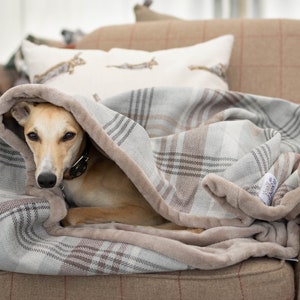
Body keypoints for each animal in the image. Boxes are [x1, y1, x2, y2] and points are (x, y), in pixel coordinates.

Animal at [11, 102, 204, 231]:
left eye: (68, 135)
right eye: (32, 135)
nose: (46, 180)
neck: (84, 169)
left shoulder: (144, 210)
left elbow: (72, 214)